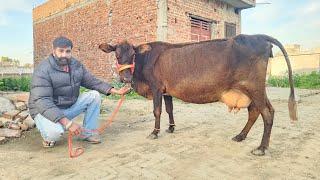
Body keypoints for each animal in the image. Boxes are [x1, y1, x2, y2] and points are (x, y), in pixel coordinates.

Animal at [100, 34, 298, 155]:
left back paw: (261, 148)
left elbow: (157, 111)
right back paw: (240, 136)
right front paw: (171, 128)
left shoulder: (156, 88)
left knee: (267, 113)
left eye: (133, 54)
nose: (125, 78)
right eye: (116, 55)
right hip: (253, 89)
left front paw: (155, 132)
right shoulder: (166, 91)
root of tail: (258, 37)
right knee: (257, 111)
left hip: (254, 86)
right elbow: (170, 109)